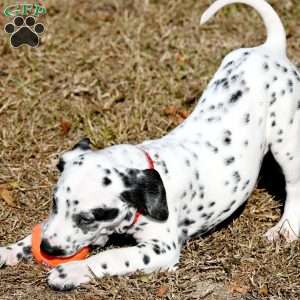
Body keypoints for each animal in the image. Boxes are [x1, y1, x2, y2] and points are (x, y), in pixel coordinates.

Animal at [0, 0, 300, 290]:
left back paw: (284, 229)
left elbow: (111, 257)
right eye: (54, 203)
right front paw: (10, 250)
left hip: (287, 142)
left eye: (87, 218)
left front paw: (71, 272)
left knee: (294, 186)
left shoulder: (161, 248)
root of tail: (269, 49)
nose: (47, 248)